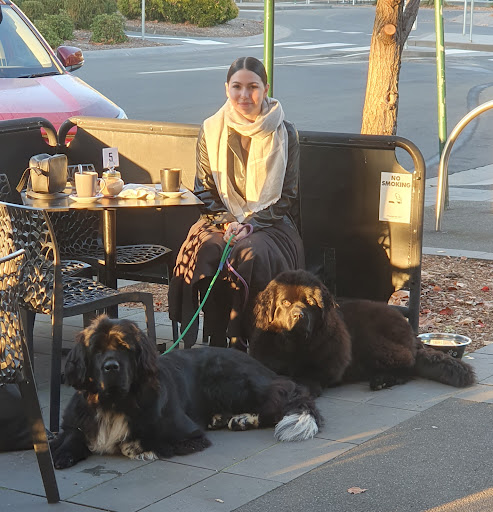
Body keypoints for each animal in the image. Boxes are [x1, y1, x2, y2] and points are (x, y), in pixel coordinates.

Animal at [49, 315, 323, 469]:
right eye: (96, 350)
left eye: (124, 348)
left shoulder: (188, 434)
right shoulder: (77, 420)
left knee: (278, 401)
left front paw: (138, 449)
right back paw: (226, 418)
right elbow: (73, 434)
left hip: (229, 379)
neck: (114, 402)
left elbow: (136, 441)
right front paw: (62, 452)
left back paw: (244, 419)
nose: (111, 366)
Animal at [249, 270, 476, 395]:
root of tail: (412, 333)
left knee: (409, 364)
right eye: (285, 303)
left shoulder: (328, 367)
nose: (299, 315)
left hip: (374, 342)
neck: (295, 346)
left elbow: (309, 376)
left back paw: (381, 380)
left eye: (309, 303)